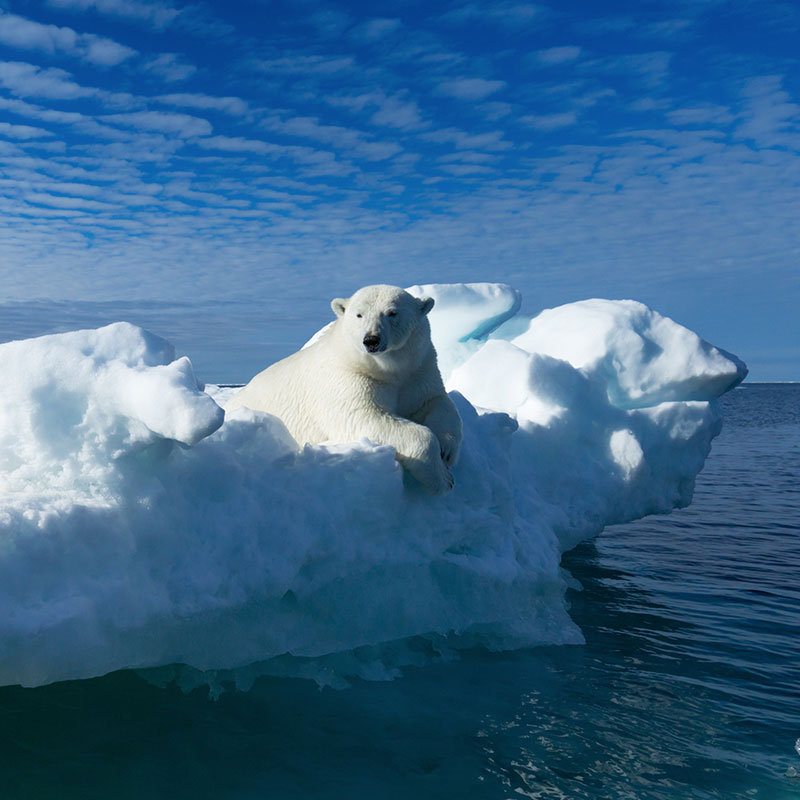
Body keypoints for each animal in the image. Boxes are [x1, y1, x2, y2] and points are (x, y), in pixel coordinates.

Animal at [225, 284, 463, 493]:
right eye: (359, 315)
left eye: (392, 313)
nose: (371, 340)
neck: (387, 370)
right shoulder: (349, 377)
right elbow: (364, 416)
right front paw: (443, 478)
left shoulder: (418, 370)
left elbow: (435, 400)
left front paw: (447, 449)